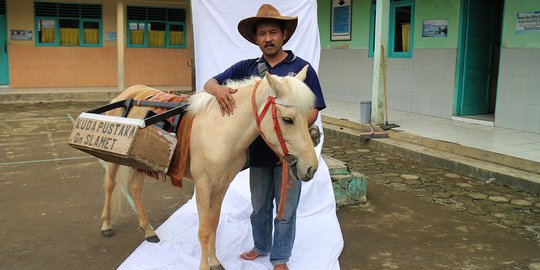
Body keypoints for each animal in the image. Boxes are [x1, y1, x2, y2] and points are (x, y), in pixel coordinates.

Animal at [99, 66, 318, 270]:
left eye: (307, 115)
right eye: (287, 120)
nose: (311, 168)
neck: (220, 131)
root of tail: (129, 93)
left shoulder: (222, 185)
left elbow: (213, 223)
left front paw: (215, 261)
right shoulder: (203, 185)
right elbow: (203, 230)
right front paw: (205, 265)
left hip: (141, 162)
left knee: (136, 189)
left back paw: (148, 230)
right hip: (114, 159)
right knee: (109, 184)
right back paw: (106, 225)